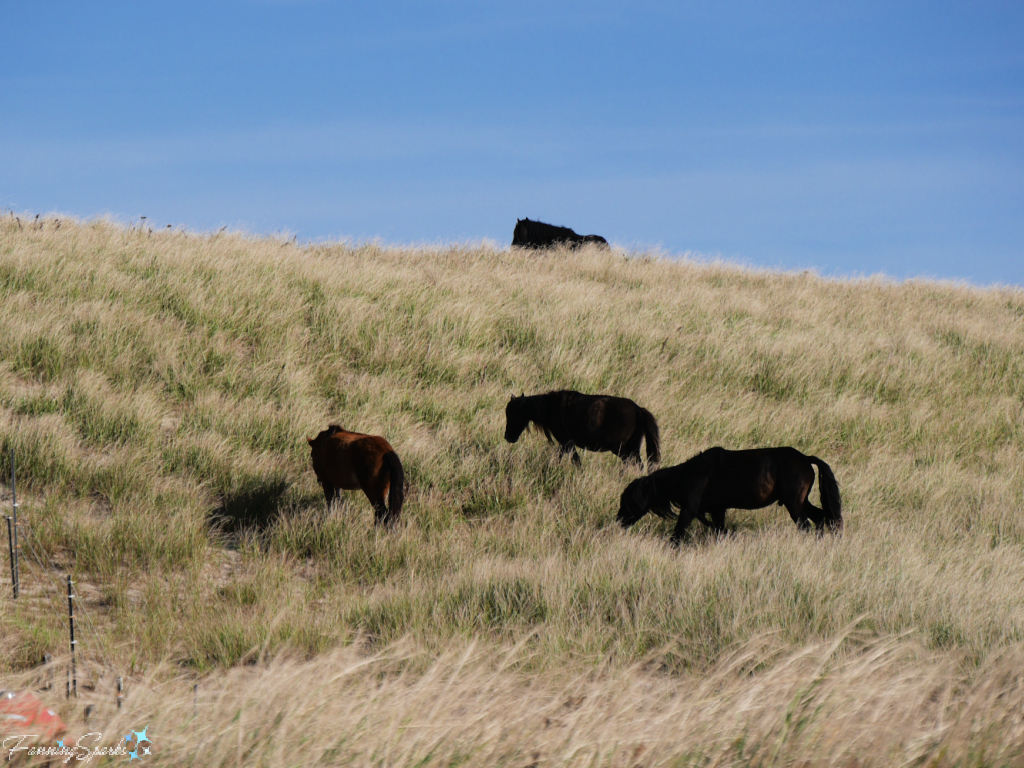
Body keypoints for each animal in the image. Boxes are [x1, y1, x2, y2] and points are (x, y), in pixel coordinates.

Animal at [505, 393, 663, 473]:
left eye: (512, 413)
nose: (508, 437)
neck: (552, 406)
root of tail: (638, 409)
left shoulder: (566, 442)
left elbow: (575, 461)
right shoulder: (564, 444)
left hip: (623, 450)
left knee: (635, 465)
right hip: (630, 450)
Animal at [614, 444, 839, 540]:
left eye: (627, 501)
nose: (618, 521)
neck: (688, 474)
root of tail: (805, 459)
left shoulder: (689, 510)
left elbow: (677, 535)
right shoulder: (717, 511)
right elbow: (720, 532)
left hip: (794, 504)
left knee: (806, 526)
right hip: (800, 502)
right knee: (820, 518)